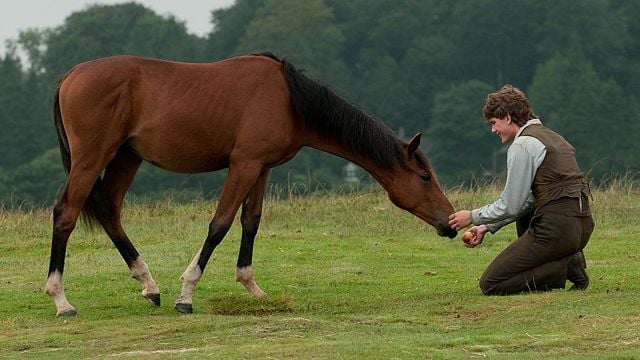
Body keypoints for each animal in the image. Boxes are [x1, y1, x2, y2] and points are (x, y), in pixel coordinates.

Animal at [46, 52, 456, 316]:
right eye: (424, 177)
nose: (450, 223)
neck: (289, 99)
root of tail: (69, 76)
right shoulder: (243, 165)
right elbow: (220, 224)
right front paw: (187, 294)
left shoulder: (262, 168)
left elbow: (250, 222)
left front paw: (251, 287)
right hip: (92, 158)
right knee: (66, 214)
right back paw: (61, 300)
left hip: (126, 158)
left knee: (110, 213)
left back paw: (149, 284)